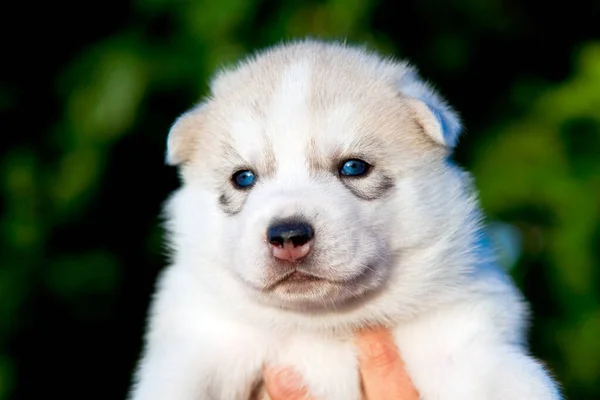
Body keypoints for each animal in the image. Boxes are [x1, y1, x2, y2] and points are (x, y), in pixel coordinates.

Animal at [127, 40, 564, 400]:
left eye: (354, 167)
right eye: (243, 178)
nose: (288, 234)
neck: (321, 324)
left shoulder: (460, 339)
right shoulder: (204, 342)